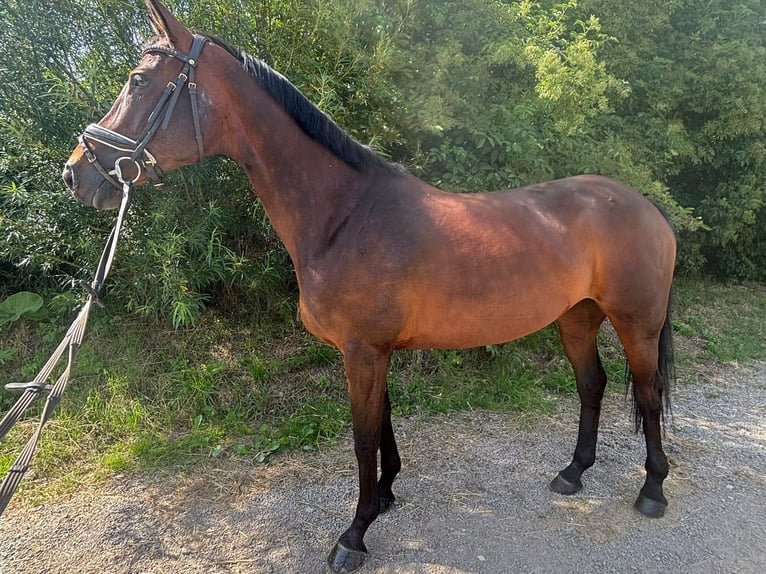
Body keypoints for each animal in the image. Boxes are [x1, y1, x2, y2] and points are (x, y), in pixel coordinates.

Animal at [62, 1, 676, 571]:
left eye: (140, 81)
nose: (77, 174)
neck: (345, 217)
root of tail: (647, 208)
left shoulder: (362, 350)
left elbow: (361, 437)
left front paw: (353, 535)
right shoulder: (375, 351)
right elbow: (382, 426)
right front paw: (383, 496)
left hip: (636, 323)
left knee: (648, 395)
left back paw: (652, 490)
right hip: (577, 317)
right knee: (592, 385)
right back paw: (573, 473)